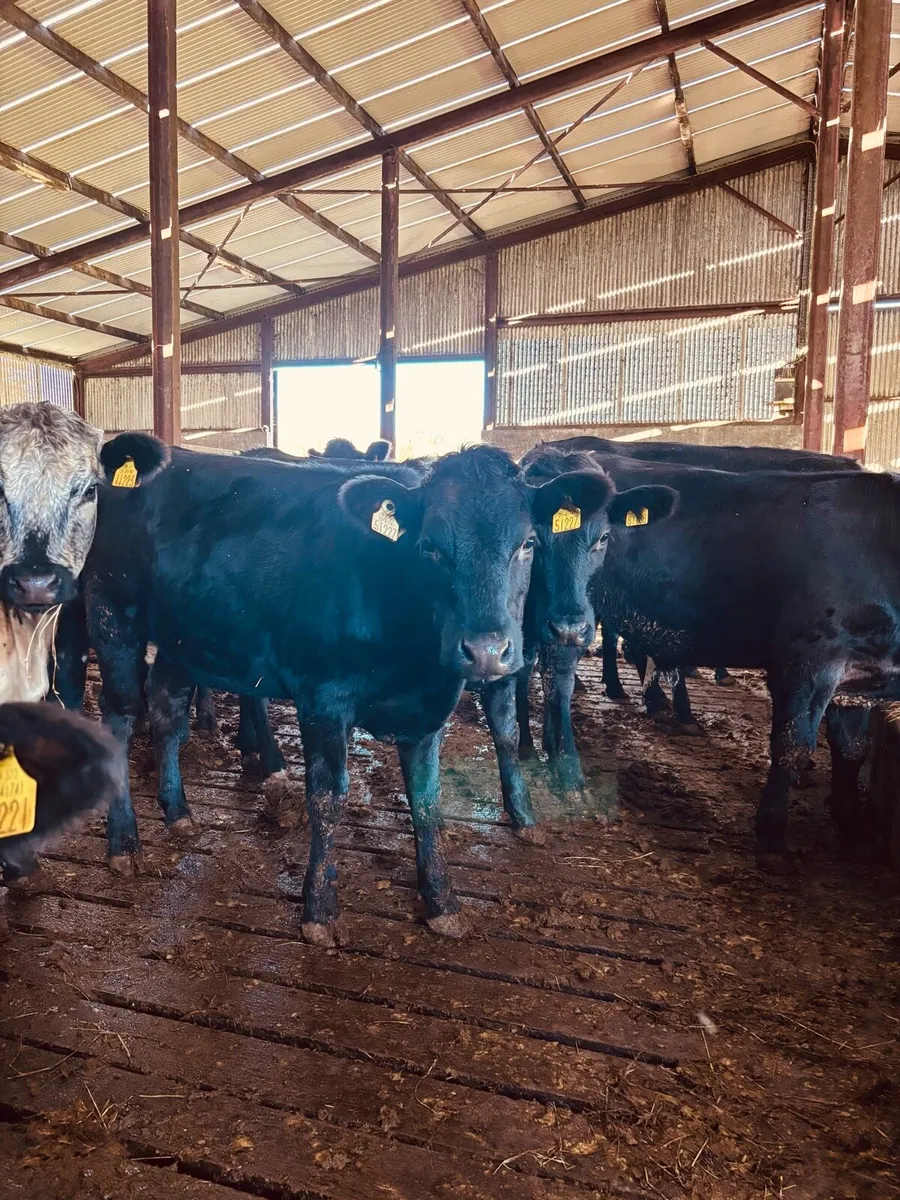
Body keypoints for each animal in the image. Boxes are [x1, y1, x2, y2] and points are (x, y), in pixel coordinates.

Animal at [78, 446, 555, 943]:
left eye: (528, 544)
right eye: (429, 547)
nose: (486, 651)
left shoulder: (427, 713)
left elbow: (427, 803)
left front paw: (443, 901)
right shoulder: (323, 700)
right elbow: (328, 799)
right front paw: (320, 909)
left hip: (182, 639)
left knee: (167, 714)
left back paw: (178, 814)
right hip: (114, 618)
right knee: (121, 716)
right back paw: (124, 842)